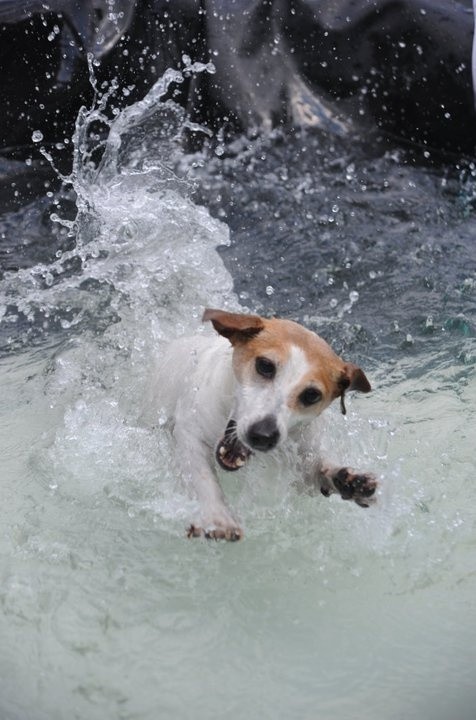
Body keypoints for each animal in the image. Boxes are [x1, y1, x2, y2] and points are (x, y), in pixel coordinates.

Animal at [152, 310, 376, 540]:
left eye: (311, 395)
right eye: (265, 366)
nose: (263, 434)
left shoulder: (303, 457)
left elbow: (318, 468)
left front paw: (348, 479)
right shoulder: (190, 433)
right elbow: (204, 479)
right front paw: (217, 517)